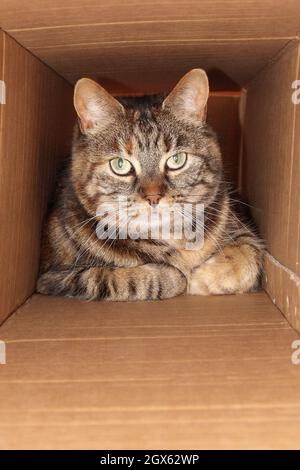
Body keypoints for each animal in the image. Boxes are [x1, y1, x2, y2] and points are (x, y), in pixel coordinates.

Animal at [37, 70, 262, 302]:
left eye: (177, 160)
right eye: (120, 164)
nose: (153, 197)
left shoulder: (239, 224)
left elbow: (249, 250)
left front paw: (202, 278)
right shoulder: (52, 278)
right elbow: (115, 278)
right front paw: (180, 278)